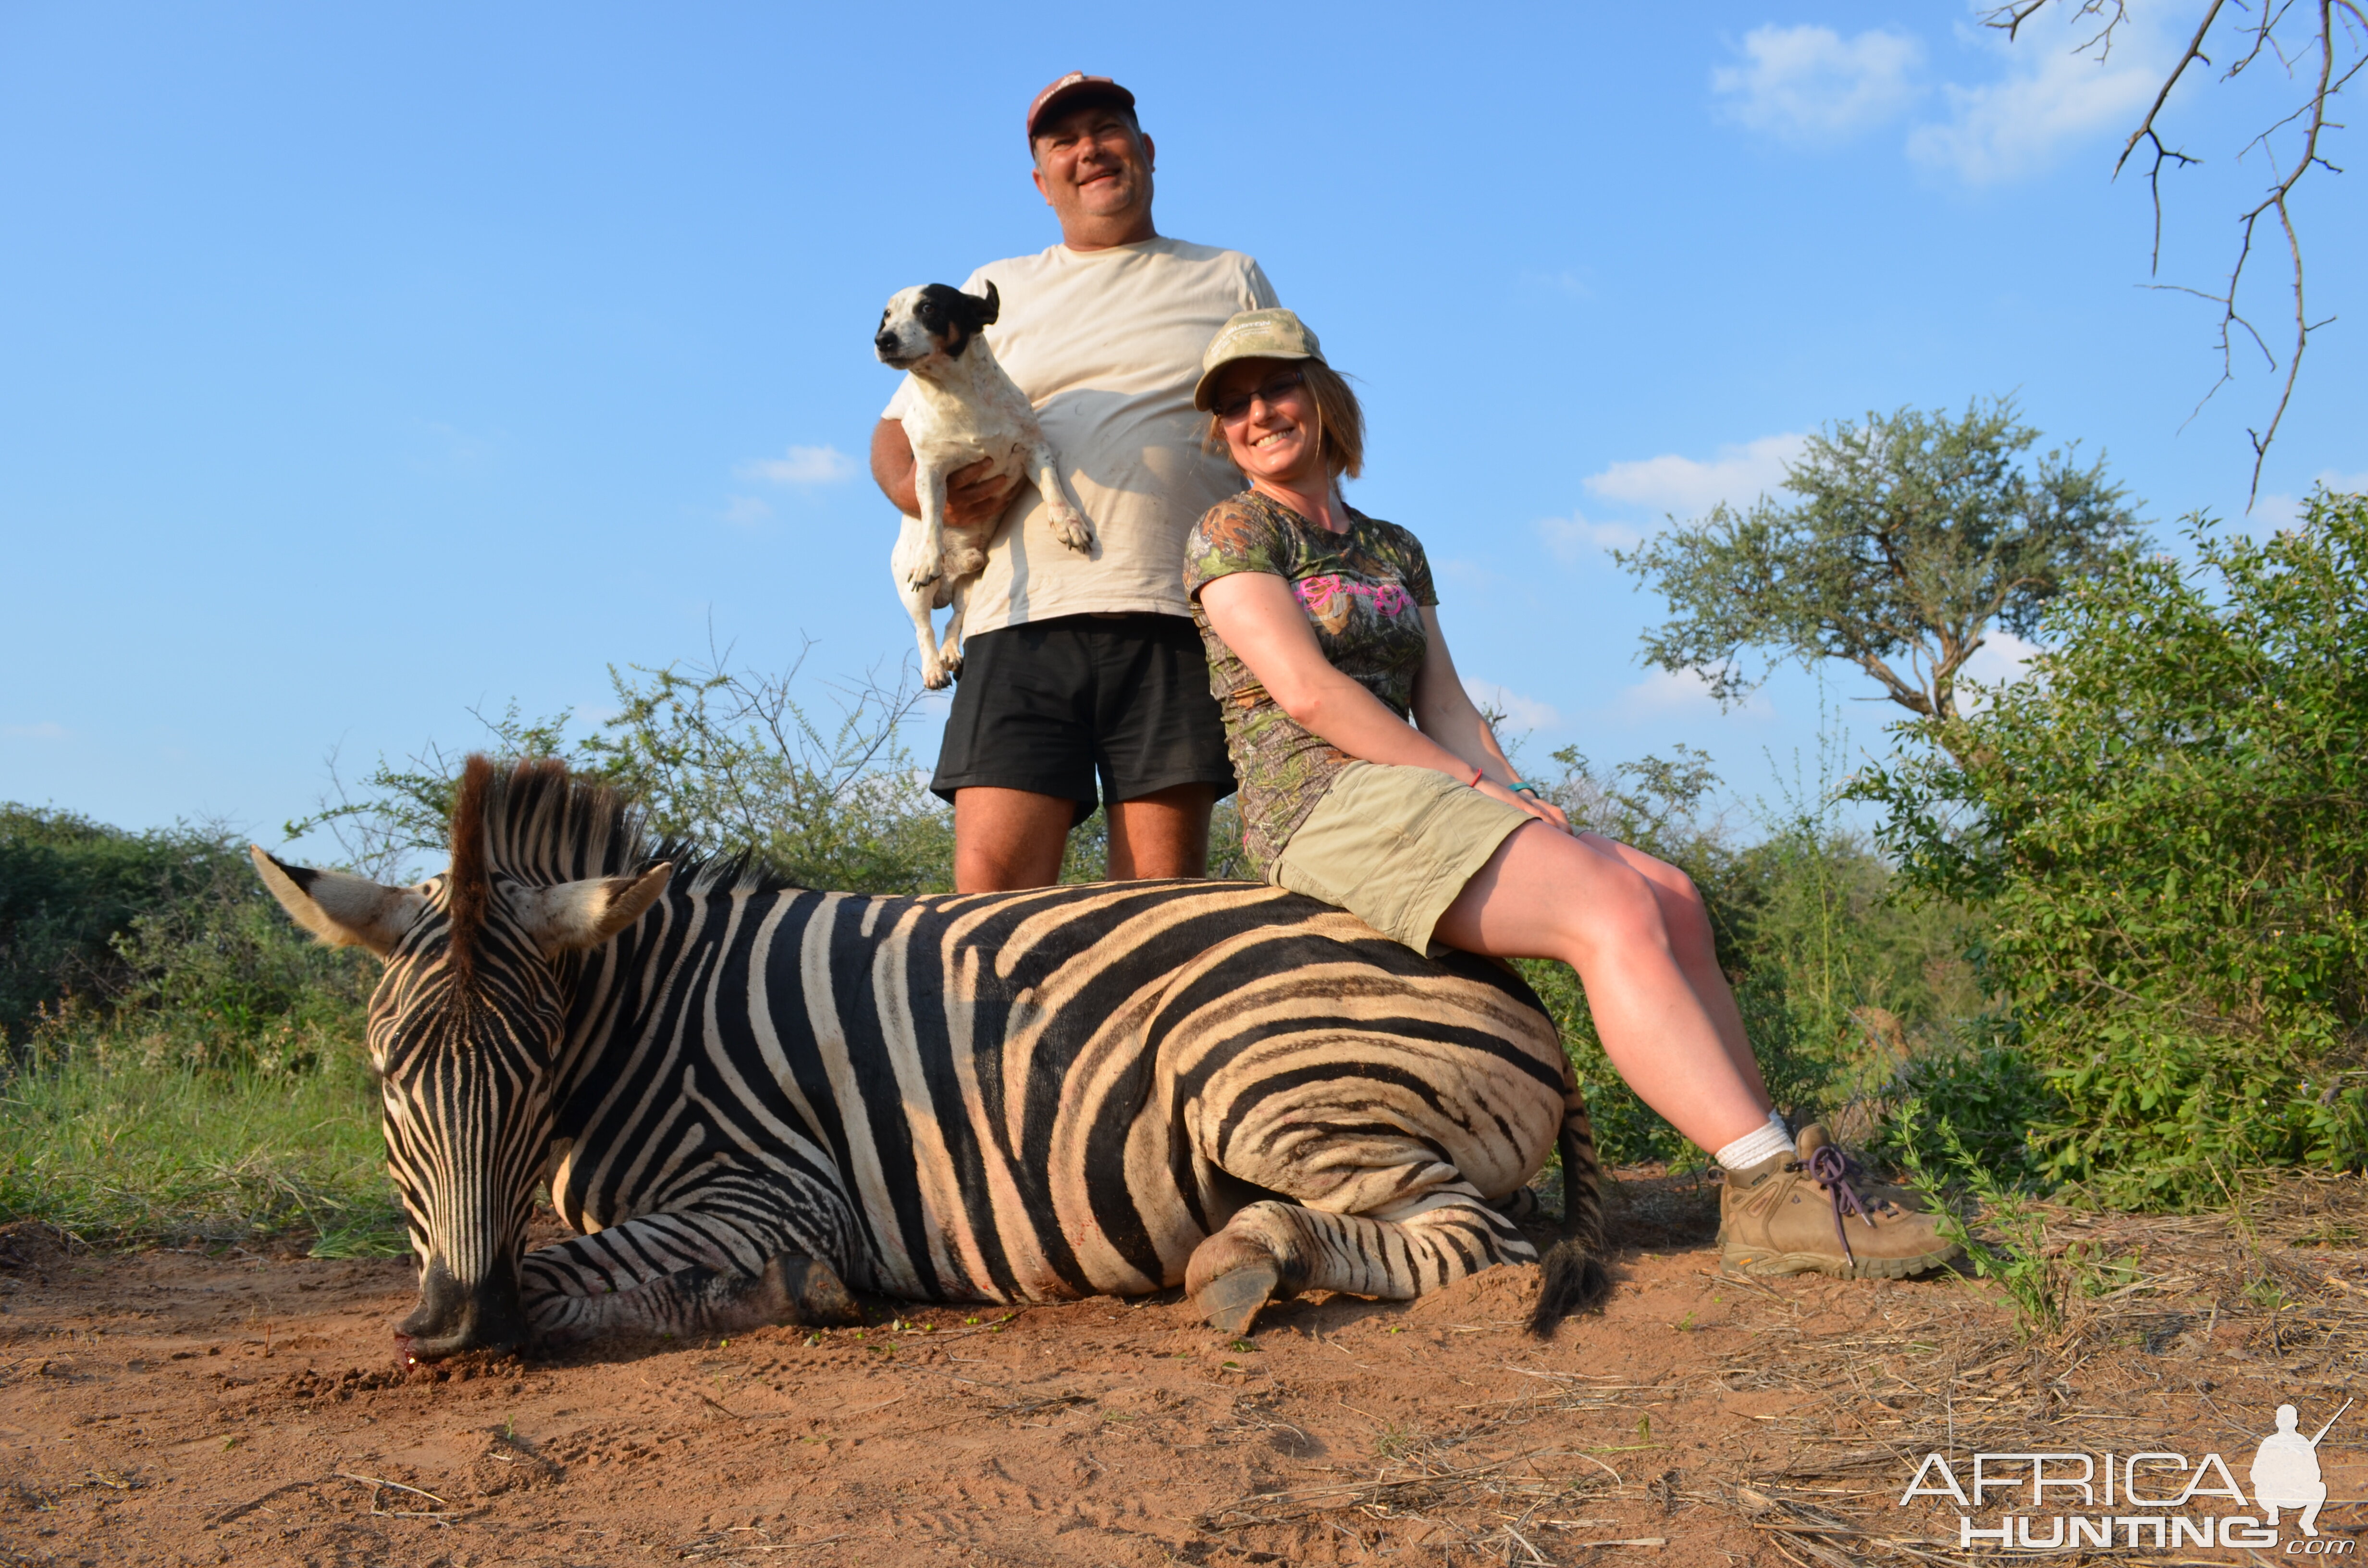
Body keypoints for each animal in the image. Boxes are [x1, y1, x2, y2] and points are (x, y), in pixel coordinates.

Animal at [876, 288, 1094, 686]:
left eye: (928, 307)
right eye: (886, 316)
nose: (883, 340)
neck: (956, 396)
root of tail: (948, 584)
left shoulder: (1034, 450)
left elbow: (1054, 490)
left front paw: (1069, 523)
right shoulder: (930, 471)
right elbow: (933, 518)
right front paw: (929, 556)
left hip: (972, 584)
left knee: (954, 620)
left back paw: (950, 652)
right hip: (912, 592)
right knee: (924, 628)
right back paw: (933, 667)